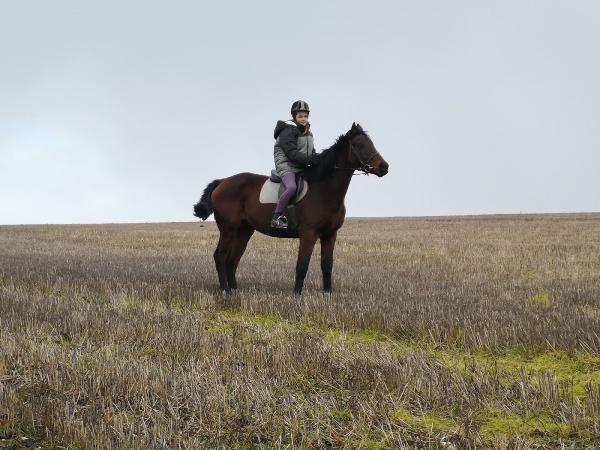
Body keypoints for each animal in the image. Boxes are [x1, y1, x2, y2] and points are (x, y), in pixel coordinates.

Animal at [192, 121, 390, 294]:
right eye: (359, 145)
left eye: (371, 143)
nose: (384, 167)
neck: (323, 189)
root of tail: (223, 182)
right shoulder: (308, 233)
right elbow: (302, 265)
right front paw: (296, 295)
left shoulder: (330, 234)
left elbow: (327, 265)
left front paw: (328, 294)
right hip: (228, 229)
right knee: (220, 256)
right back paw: (225, 290)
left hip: (244, 230)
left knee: (232, 260)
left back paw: (234, 290)